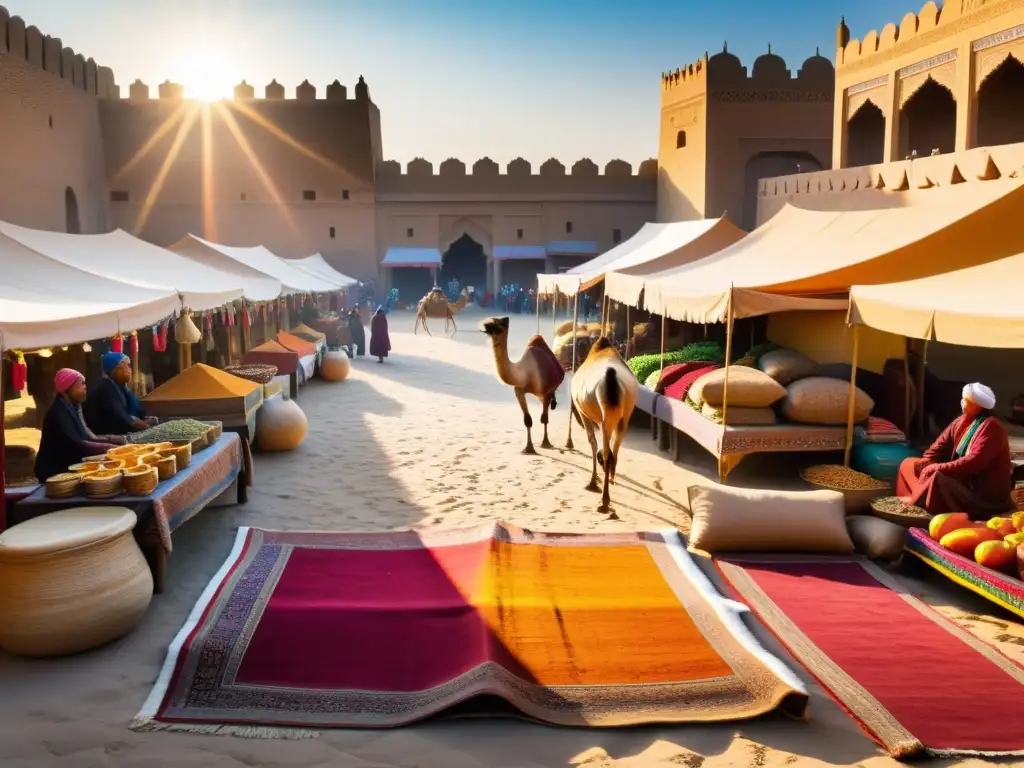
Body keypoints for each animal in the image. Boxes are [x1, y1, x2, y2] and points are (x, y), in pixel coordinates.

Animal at [481, 315, 569, 454]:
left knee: (546, 414)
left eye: (499, 323)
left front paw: (545, 443)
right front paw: (528, 448)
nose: (484, 324)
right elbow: (528, 420)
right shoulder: (519, 390)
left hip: (548, 391)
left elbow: (544, 418)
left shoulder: (545, 391)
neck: (525, 373)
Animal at [569, 337, 638, 514]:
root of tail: (611, 379)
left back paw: (605, 500)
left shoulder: (584, 414)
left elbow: (593, 443)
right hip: (624, 416)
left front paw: (593, 482)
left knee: (607, 451)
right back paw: (611, 481)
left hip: (606, 415)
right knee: (615, 448)